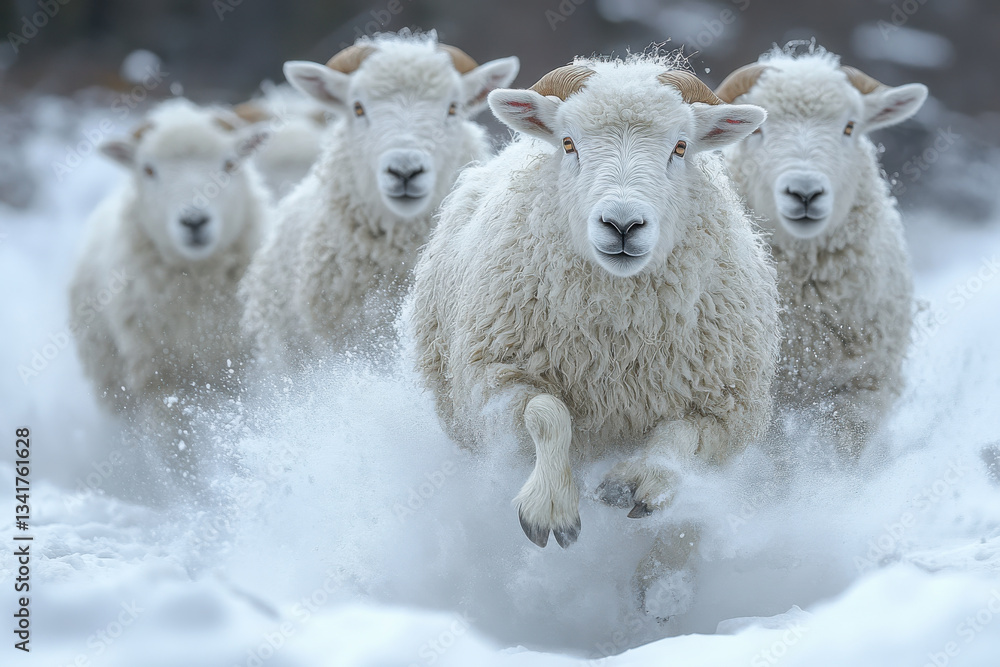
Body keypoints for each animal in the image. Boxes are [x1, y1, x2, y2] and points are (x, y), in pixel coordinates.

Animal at [409, 57, 779, 553]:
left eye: (681, 147)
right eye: (569, 143)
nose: (622, 225)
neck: (617, 346)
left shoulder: (725, 412)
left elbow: (680, 434)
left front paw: (642, 480)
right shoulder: (494, 382)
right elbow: (548, 414)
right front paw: (550, 507)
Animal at [715, 48, 928, 456]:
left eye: (850, 127)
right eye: (759, 130)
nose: (805, 192)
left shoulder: (865, 387)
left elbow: (844, 452)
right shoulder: (768, 398)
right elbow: (777, 460)